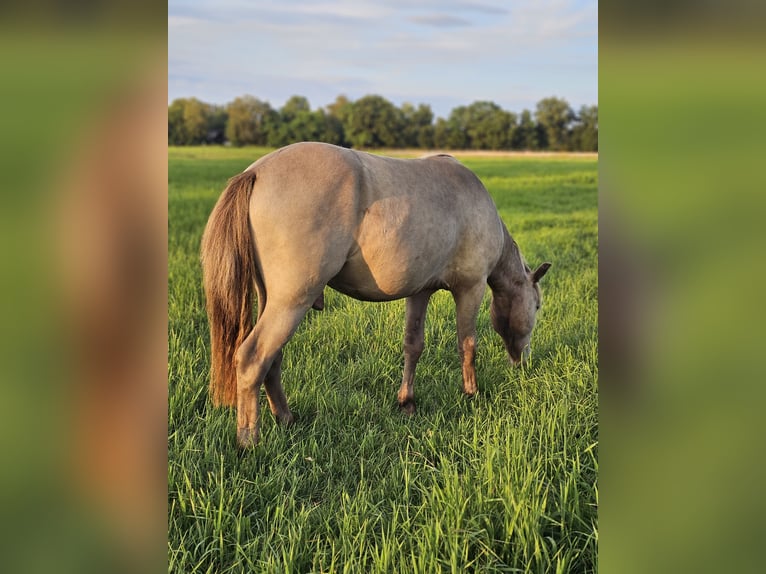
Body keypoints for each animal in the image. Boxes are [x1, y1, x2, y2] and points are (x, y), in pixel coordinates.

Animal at [201, 142, 552, 448]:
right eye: (536, 306)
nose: (522, 361)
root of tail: (257, 171)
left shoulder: (420, 291)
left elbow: (413, 345)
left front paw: (406, 401)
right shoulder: (471, 287)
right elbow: (467, 345)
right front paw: (471, 393)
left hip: (270, 301)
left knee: (272, 359)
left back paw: (286, 418)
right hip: (291, 303)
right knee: (253, 358)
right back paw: (249, 440)